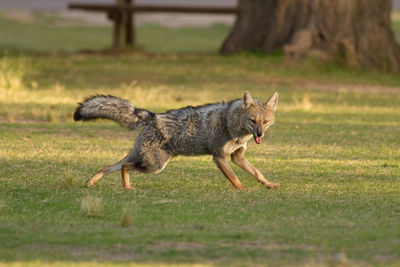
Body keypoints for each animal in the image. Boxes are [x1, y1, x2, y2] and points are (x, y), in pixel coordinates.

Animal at [74, 91, 278, 191]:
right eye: (253, 121)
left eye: (265, 122)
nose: (259, 135)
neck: (232, 124)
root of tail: (153, 116)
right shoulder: (219, 157)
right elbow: (234, 177)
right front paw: (242, 189)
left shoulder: (237, 157)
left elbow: (257, 173)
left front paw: (268, 184)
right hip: (154, 166)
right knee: (124, 167)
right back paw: (127, 187)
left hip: (143, 160)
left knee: (109, 167)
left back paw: (91, 182)